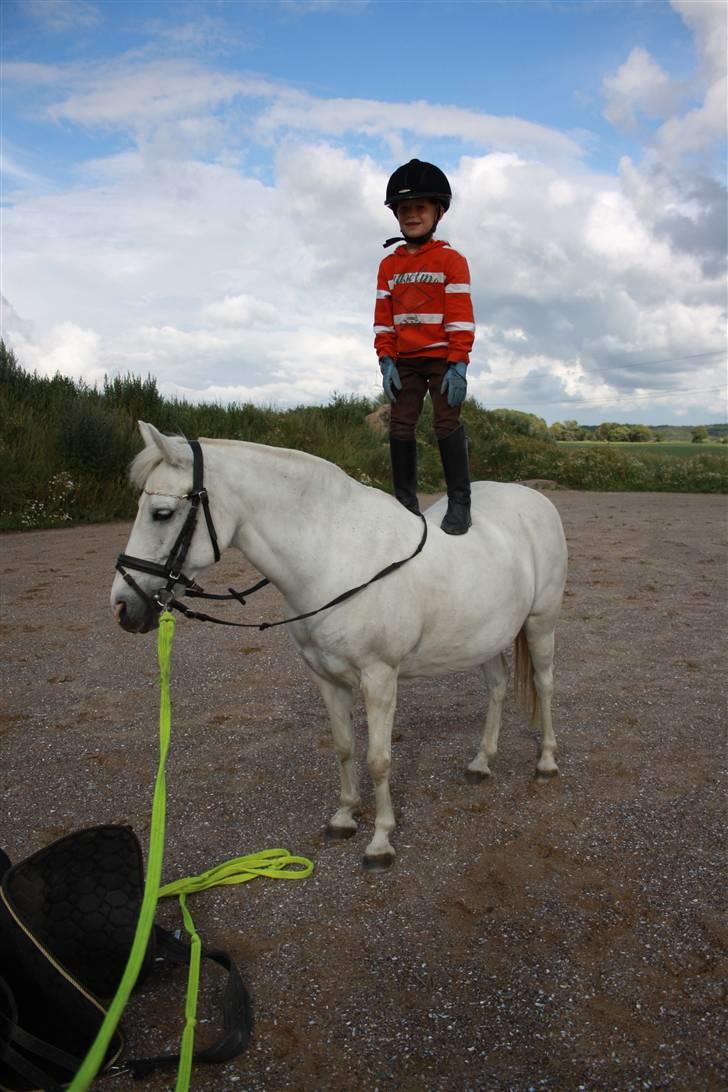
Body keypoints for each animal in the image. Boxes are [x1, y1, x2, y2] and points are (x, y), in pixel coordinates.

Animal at [112, 421, 567, 864]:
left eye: (162, 513)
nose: (123, 605)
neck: (336, 556)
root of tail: (532, 498)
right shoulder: (326, 677)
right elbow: (345, 747)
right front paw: (345, 817)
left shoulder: (379, 678)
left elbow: (379, 760)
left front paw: (381, 841)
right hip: (485, 637)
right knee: (498, 687)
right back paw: (481, 762)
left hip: (541, 624)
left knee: (544, 684)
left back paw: (546, 761)